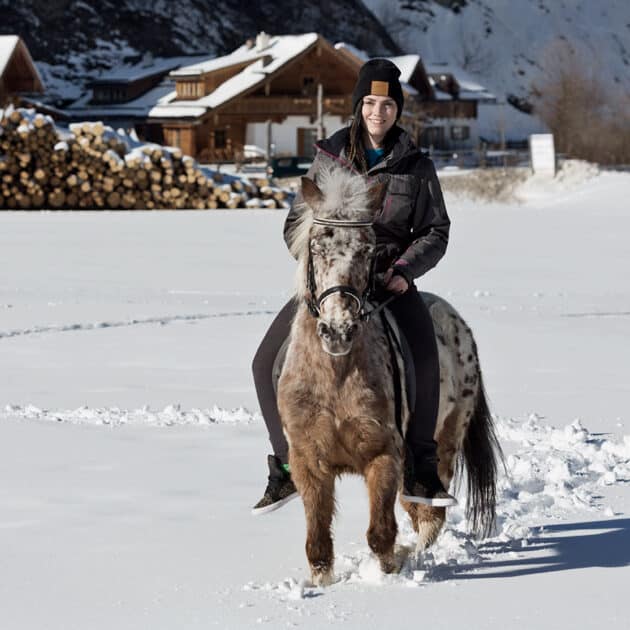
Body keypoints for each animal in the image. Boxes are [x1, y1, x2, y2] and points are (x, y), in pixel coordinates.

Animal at [276, 167, 504, 588]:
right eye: (316, 247)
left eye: (368, 249)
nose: (338, 330)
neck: (335, 375)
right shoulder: (308, 461)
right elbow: (318, 543)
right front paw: (322, 585)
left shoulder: (383, 456)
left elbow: (381, 535)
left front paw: (390, 572)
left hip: (443, 443)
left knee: (430, 517)